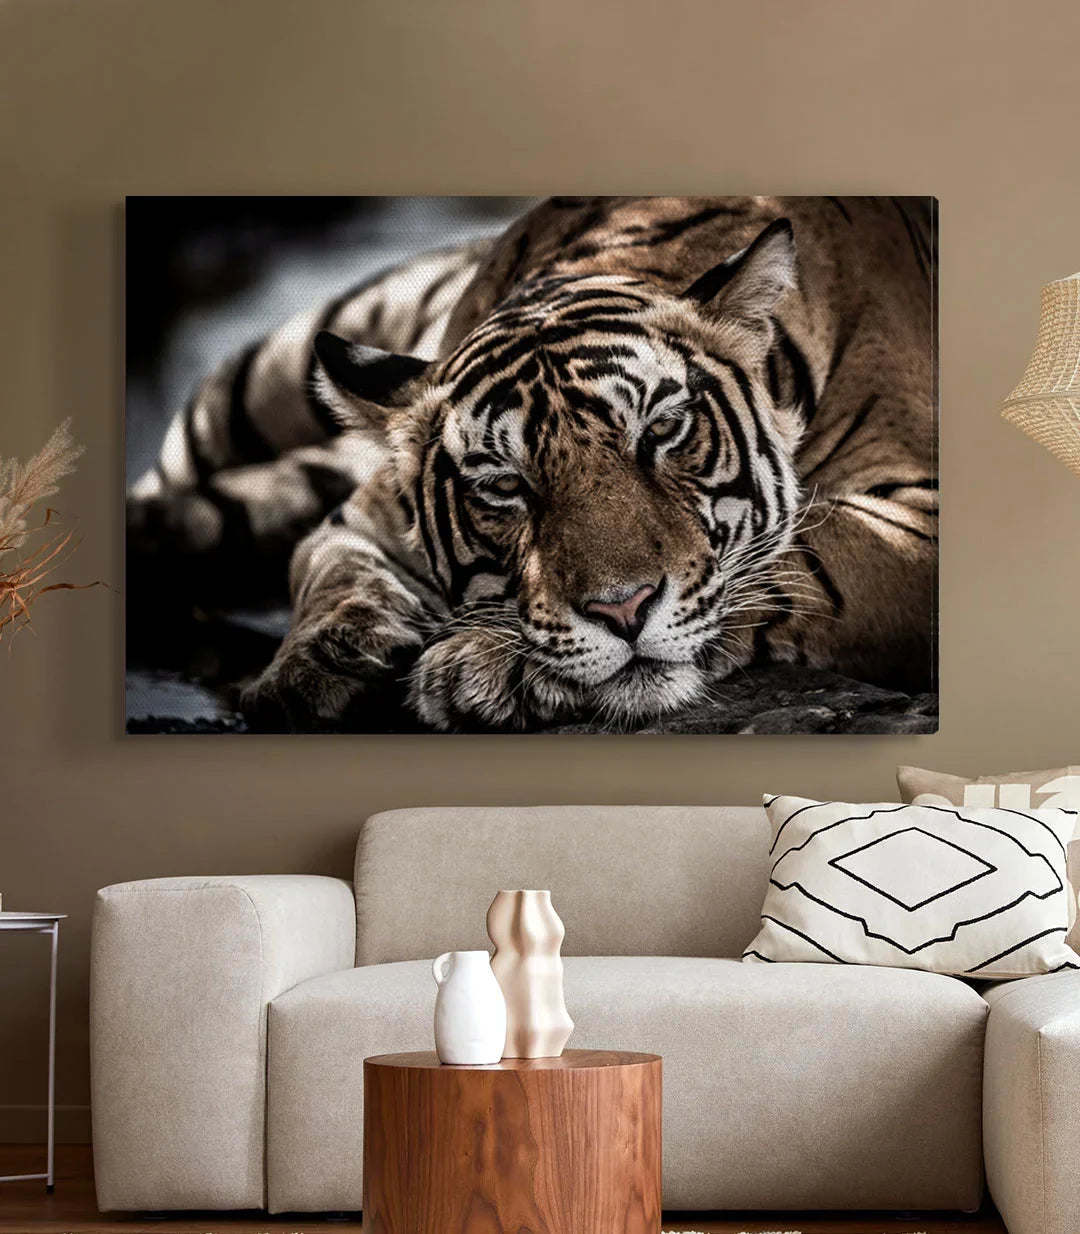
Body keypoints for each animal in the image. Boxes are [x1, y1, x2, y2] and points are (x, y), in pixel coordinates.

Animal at [127, 196, 937, 733]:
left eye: (663, 430)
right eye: (504, 485)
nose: (623, 610)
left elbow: (804, 556)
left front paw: (487, 665)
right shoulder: (362, 513)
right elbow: (329, 569)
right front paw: (317, 664)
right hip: (263, 378)